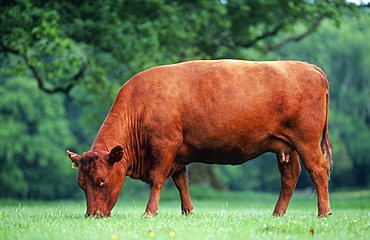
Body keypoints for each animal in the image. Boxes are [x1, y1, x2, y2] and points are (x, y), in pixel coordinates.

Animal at [66, 59, 332, 218]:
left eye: (102, 180)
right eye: (80, 183)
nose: (92, 215)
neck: (141, 105)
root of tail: (308, 66)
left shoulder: (164, 147)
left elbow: (157, 180)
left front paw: (149, 212)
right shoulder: (178, 154)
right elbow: (181, 182)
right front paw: (188, 211)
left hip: (306, 142)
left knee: (318, 170)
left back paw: (323, 213)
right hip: (287, 147)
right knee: (290, 177)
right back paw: (277, 213)